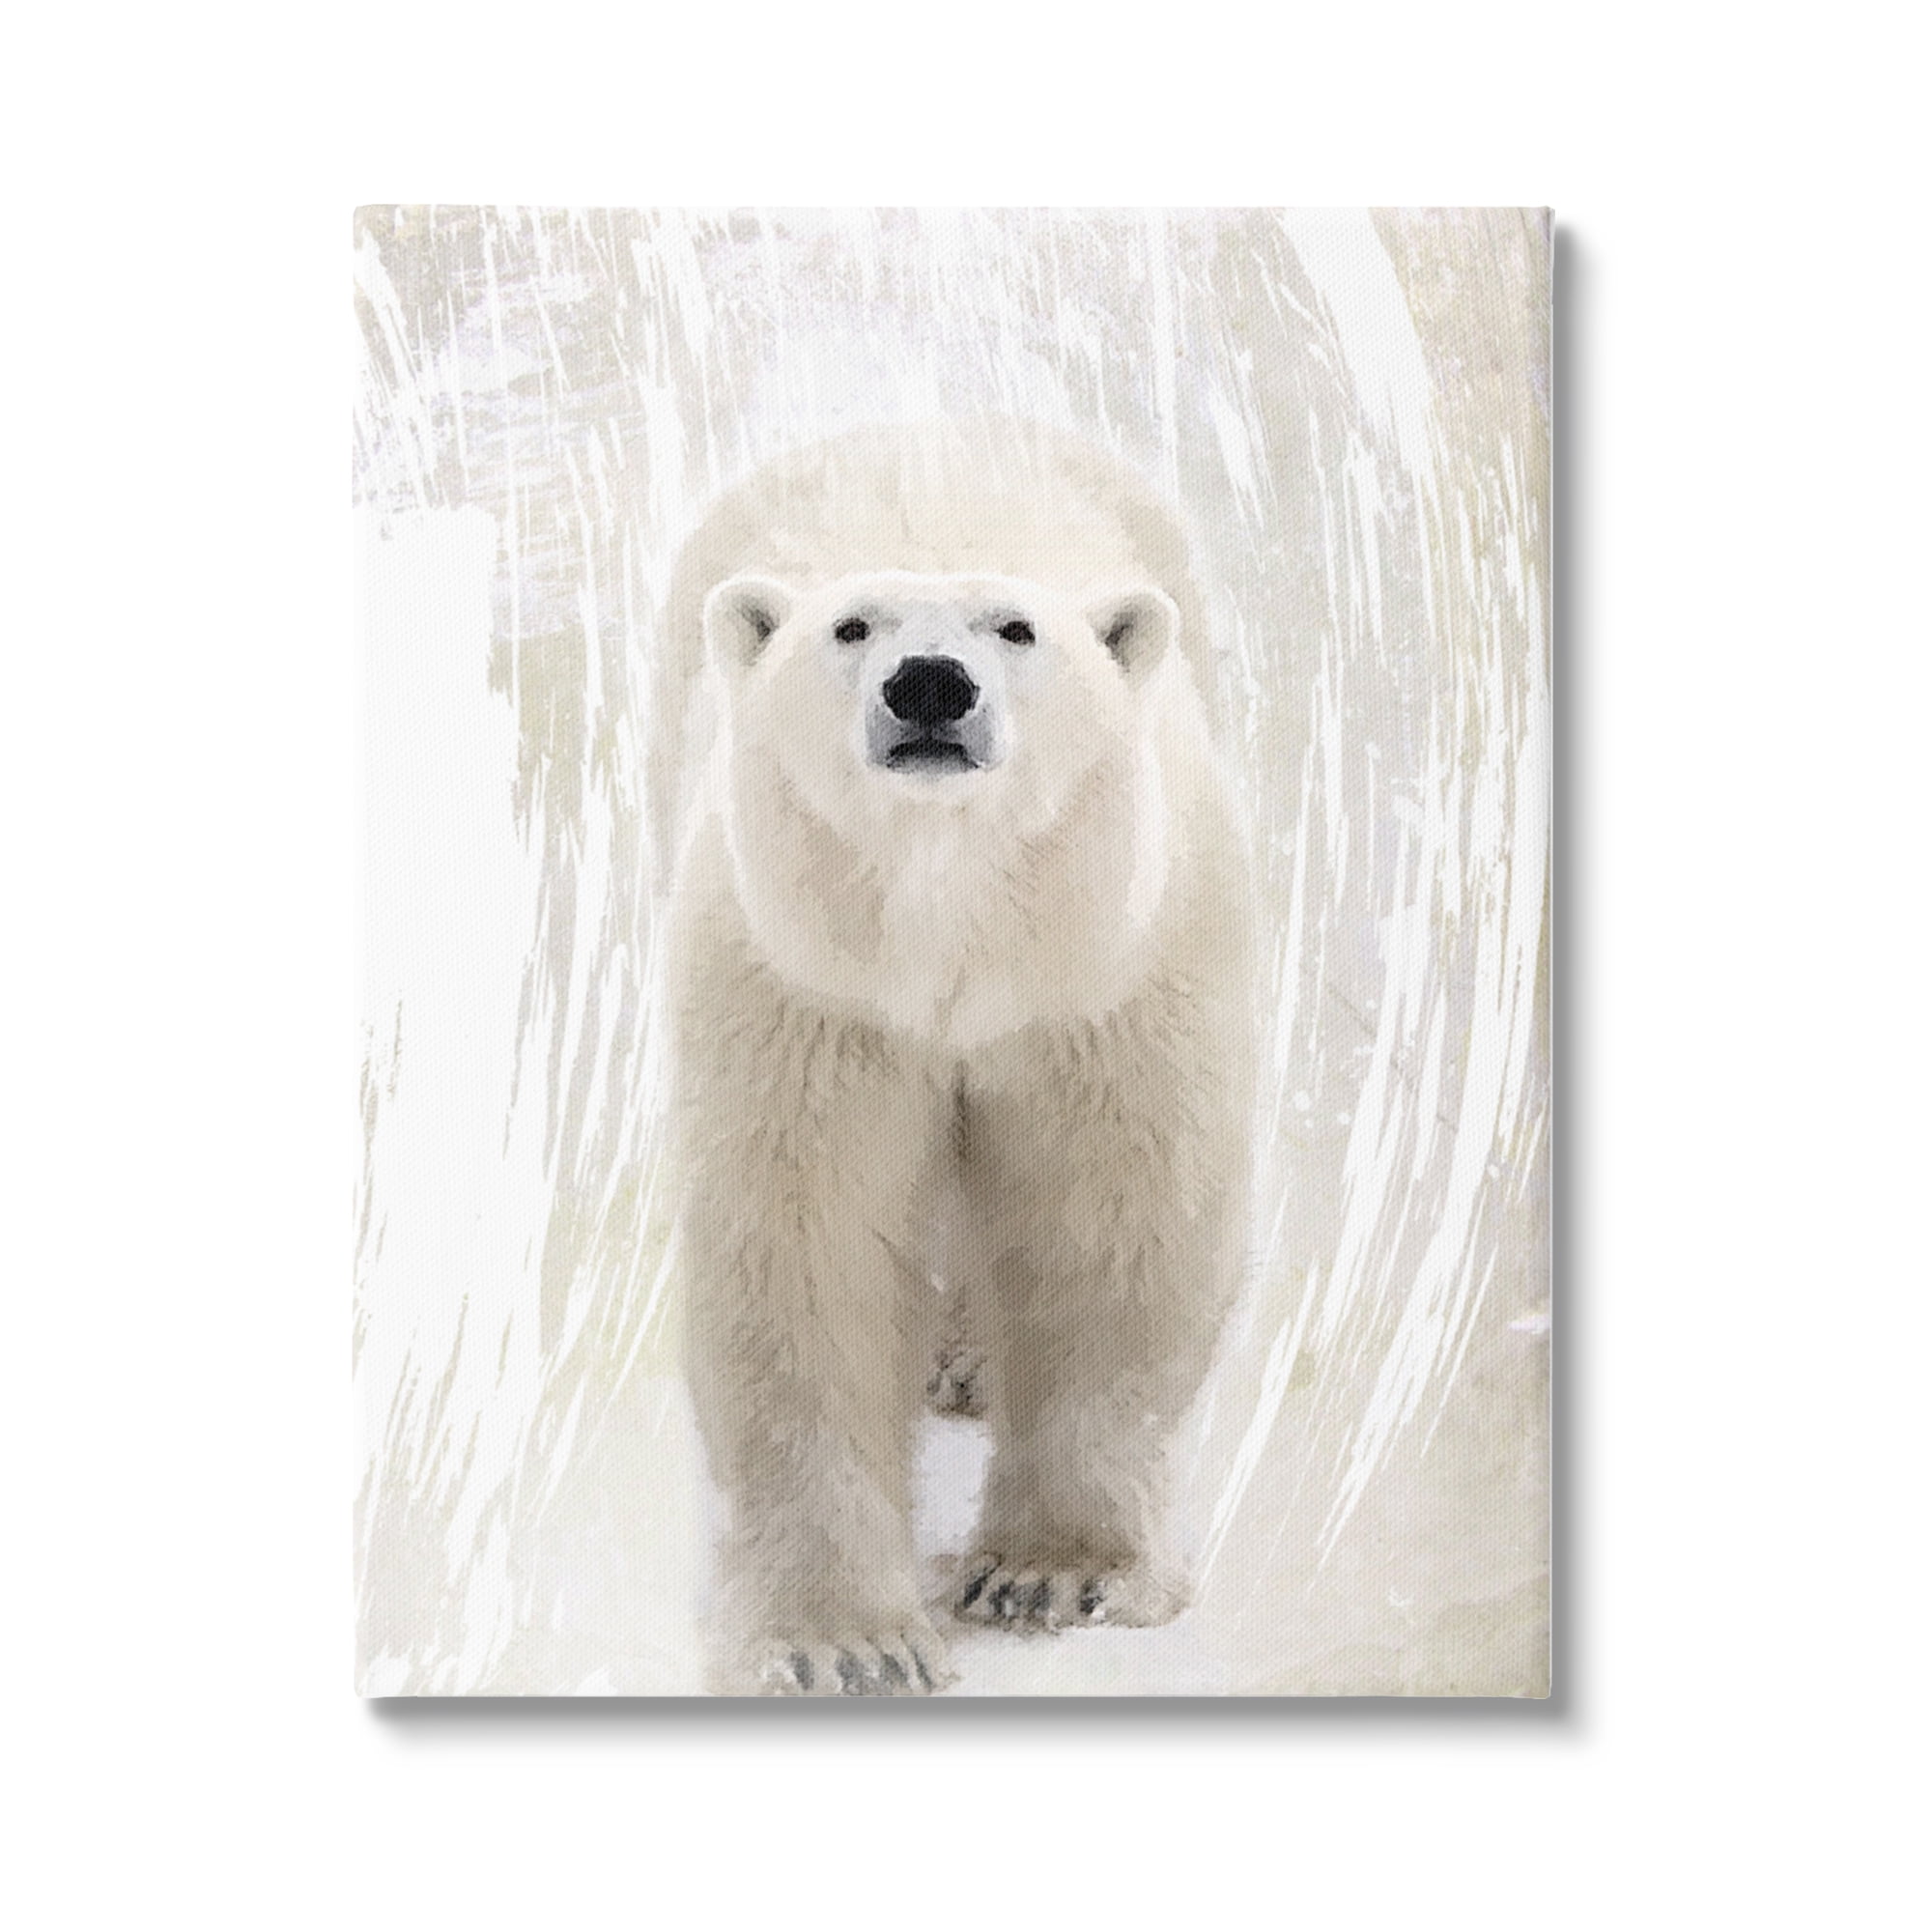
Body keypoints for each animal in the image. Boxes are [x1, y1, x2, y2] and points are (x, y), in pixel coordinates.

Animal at [654, 426, 1256, 1695]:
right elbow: (808, 1246)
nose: (928, 682)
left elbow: (1105, 1217)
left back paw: (973, 1360)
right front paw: (843, 1639)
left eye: (1016, 628)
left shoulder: (1105, 976)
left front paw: (1051, 1573)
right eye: (848, 626)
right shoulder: (805, 988)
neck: (955, 930)